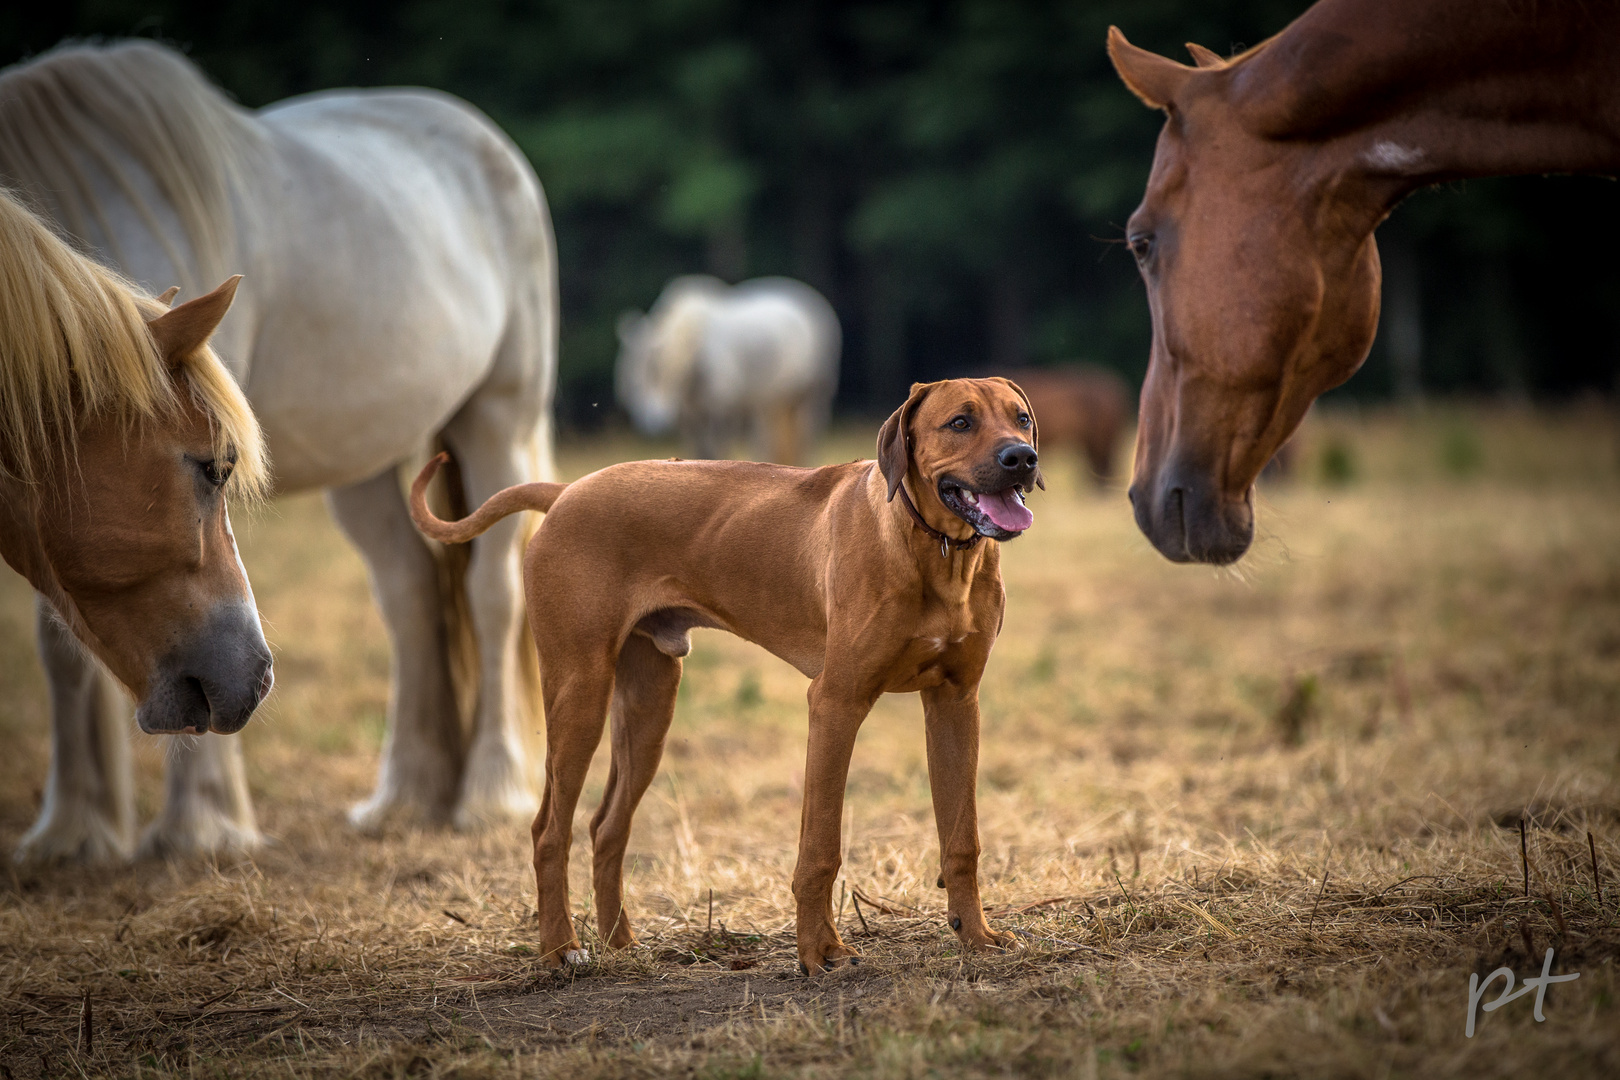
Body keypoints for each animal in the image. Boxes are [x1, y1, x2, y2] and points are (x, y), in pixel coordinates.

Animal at [0, 42, 557, 867]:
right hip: (364, 465)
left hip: (498, 418)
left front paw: (203, 826)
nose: (253, 681)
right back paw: (407, 794)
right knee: (409, 592)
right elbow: (62, 643)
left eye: (220, 466)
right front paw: (73, 831)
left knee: (494, 593)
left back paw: (488, 793)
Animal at [405, 378, 1036, 971]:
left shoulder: (957, 702)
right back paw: (562, 950)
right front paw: (821, 953)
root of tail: (565, 492)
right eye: (960, 422)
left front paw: (977, 937)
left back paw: (620, 944)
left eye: (1022, 418)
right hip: (578, 691)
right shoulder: (836, 702)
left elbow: (962, 837)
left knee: (606, 826)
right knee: (548, 831)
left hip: (650, 705)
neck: (939, 552)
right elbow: (821, 847)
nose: (1022, 458)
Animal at [612, 275, 842, 466]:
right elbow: (698, 450)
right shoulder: (690, 417)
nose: (654, 423)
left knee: (806, 438)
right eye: (634, 380)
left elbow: (717, 450)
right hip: (770, 404)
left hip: (812, 397)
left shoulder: (721, 412)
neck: (697, 353)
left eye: (663, 376)